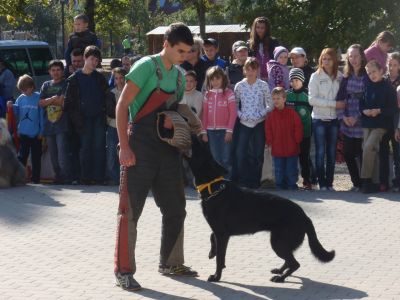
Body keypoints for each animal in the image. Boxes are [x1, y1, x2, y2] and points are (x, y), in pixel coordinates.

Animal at [185, 137, 334, 282]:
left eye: (200, 148)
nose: (197, 136)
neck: (214, 188)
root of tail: (305, 216)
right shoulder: (219, 232)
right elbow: (212, 237)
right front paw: (212, 252)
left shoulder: (222, 234)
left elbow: (220, 259)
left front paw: (216, 276)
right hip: (280, 242)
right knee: (289, 261)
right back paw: (279, 271)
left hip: (278, 243)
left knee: (295, 263)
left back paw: (280, 278)